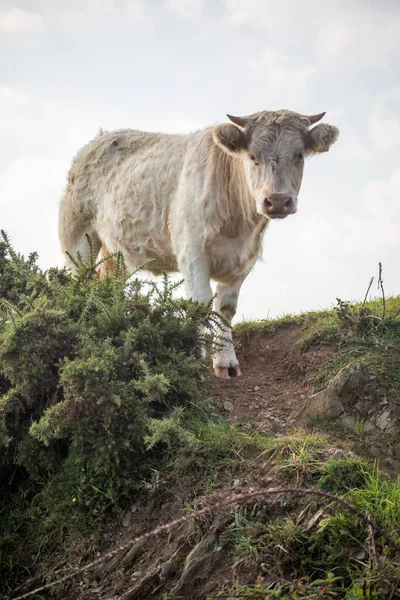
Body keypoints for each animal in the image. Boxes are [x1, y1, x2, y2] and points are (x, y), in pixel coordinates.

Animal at [59, 110, 340, 378]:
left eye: (299, 156)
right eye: (252, 156)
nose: (278, 200)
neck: (238, 225)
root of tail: (101, 138)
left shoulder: (244, 260)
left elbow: (225, 308)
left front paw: (226, 363)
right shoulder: (192, 253)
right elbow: (198, 306)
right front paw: (193, 364)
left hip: (115, 253)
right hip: (76, 237)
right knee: (77, 280)